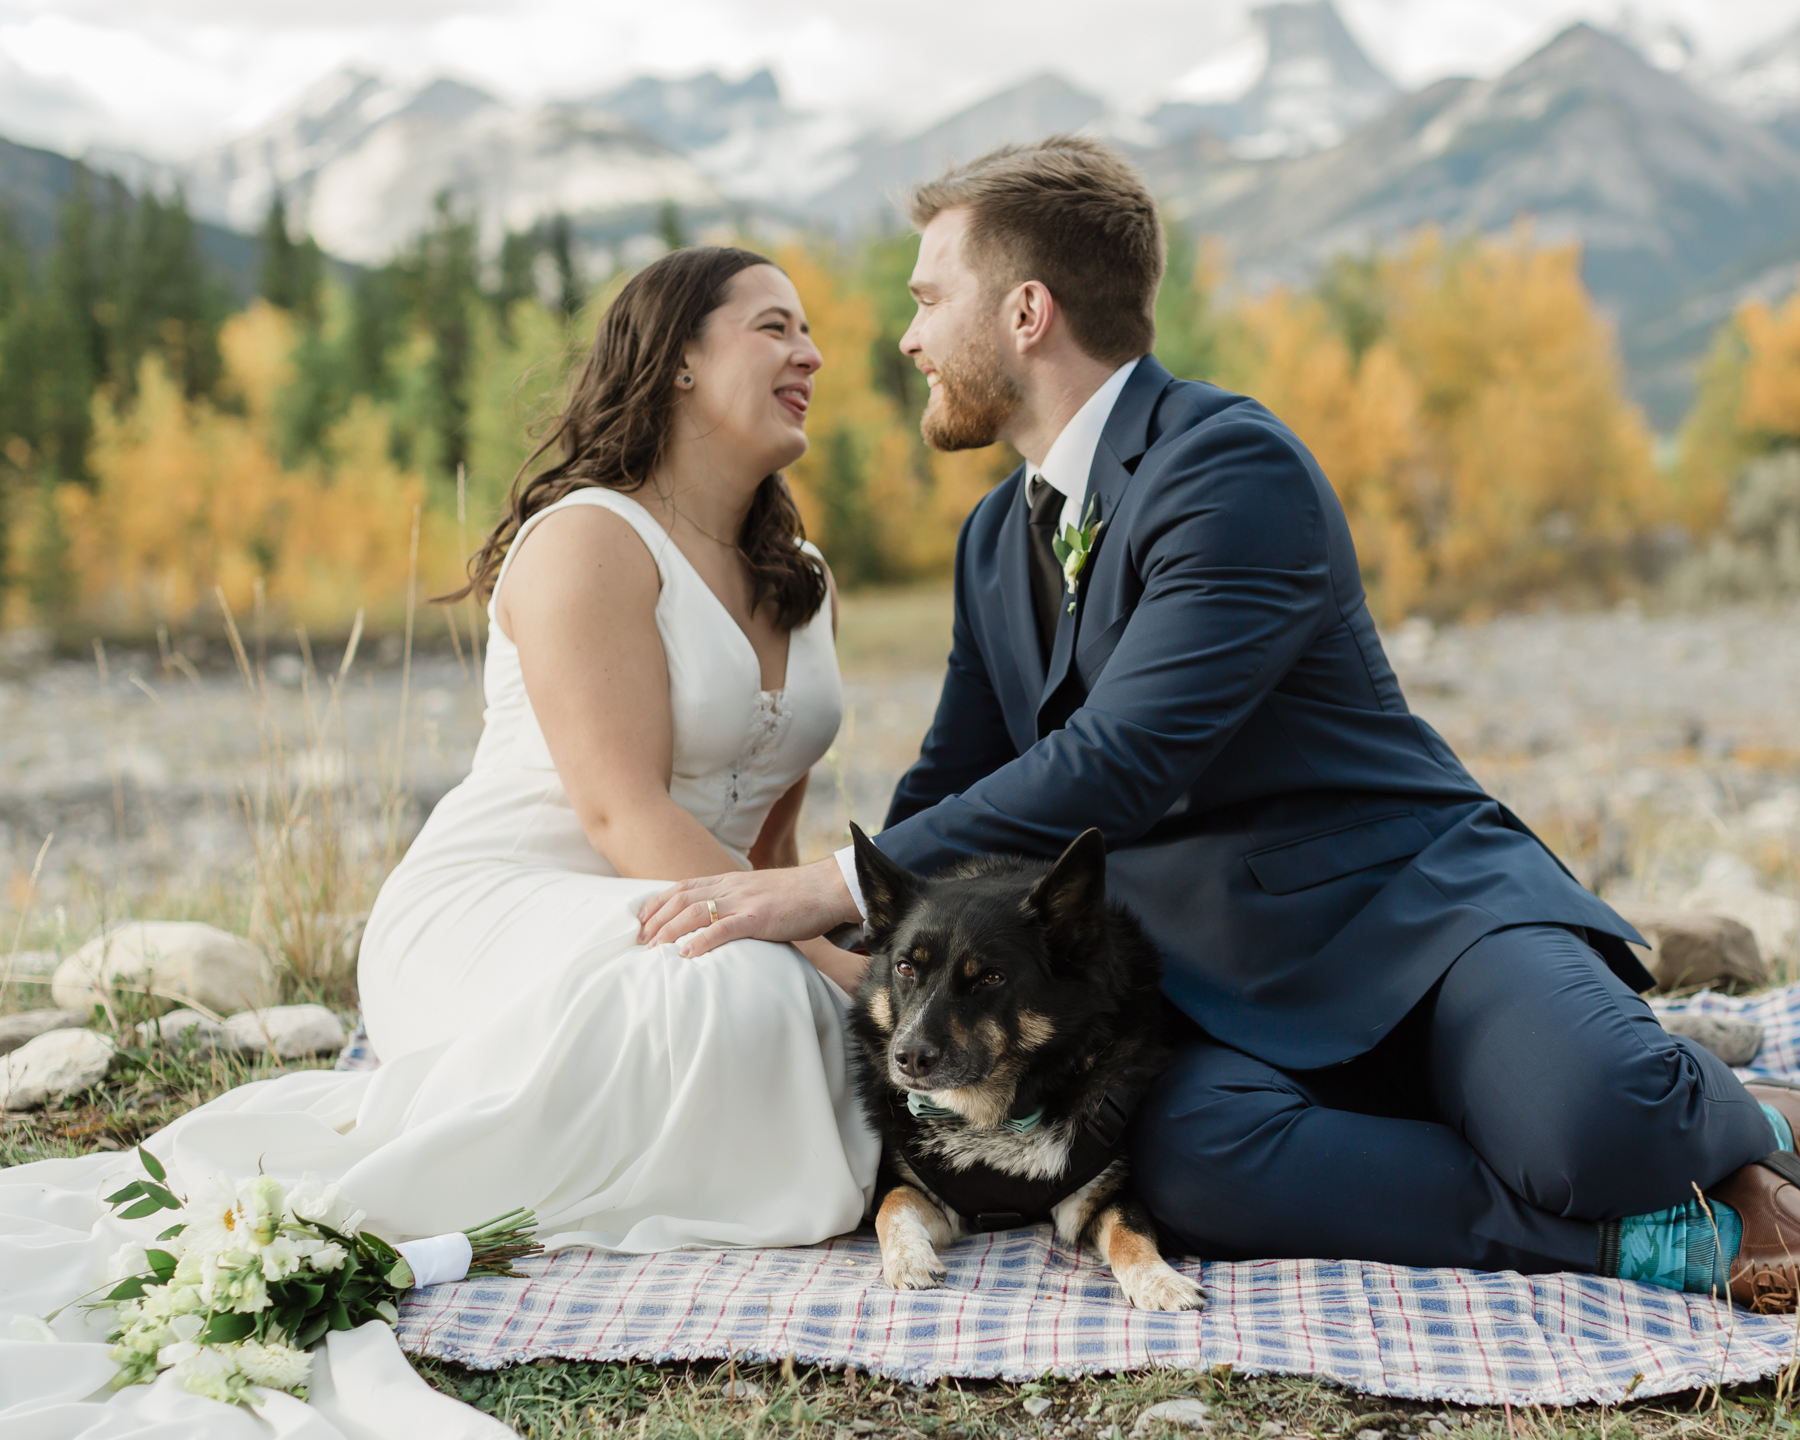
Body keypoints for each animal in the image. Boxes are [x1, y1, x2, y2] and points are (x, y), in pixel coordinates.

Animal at [846, 828, 1209, 1310]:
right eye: (905, 967)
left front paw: (1160, 1280)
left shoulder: (1099, 1195)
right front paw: (909, 1259)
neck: (995, 1115)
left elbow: (1129, 1232)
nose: (908, 1058)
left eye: (990, 978)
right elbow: (893, 1205)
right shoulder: (919, 1190)